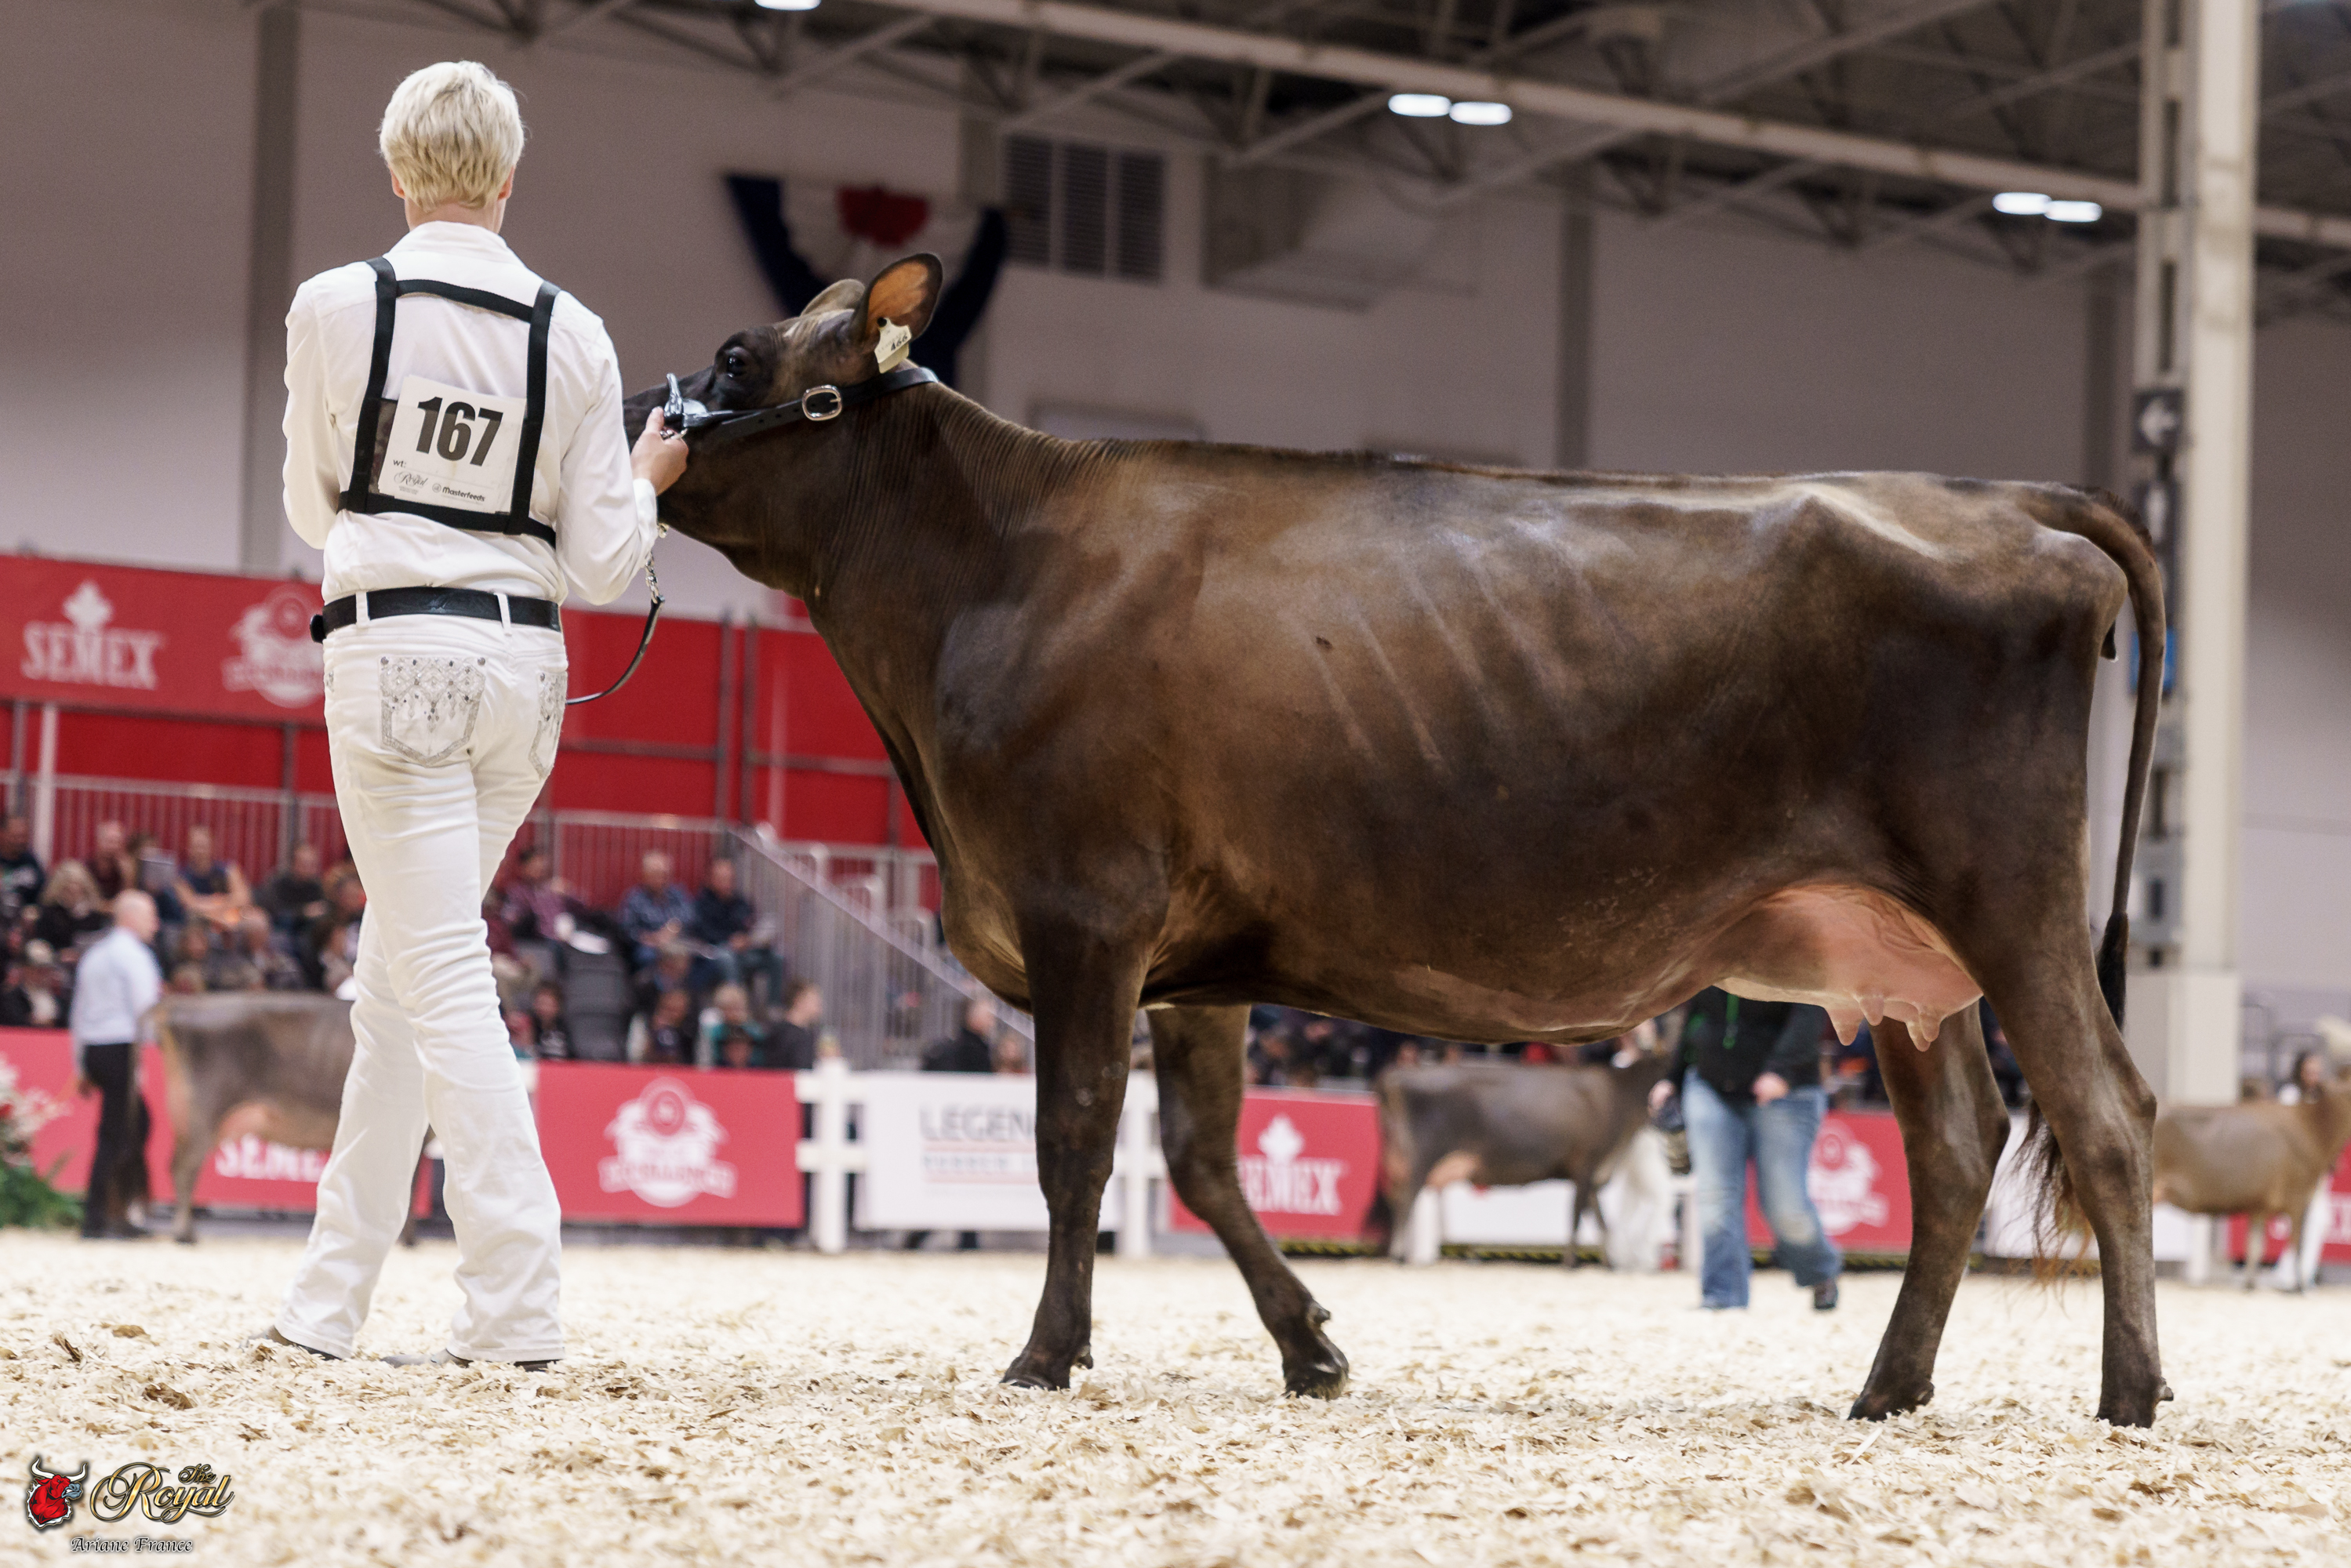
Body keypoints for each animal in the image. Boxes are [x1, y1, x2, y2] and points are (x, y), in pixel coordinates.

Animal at [154, 992, 420, 1246]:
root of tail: (181, 1005)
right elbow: (409, 1183)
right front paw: (407, 1239)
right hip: (203, 1111)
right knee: (184, 1168)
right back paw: (185, 1235)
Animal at [1373, 1054, 1671, 1265]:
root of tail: (1399, 1073)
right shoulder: (1586, 1163)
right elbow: (1577, 1215)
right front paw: (1570, 1262)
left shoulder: (1594, 1173)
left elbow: (1600, 1220)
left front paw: (1609, 1262)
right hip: (1421, 1156)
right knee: (1406, 1198)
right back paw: (1400, 1255)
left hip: (1397, 1157)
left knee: (1395, 1196)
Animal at [2153, 1067, 2351, 1290]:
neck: (2313, 1129)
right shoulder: (2298, 1197)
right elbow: (2297, 1245)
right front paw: (2298, 1287)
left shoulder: (2260, 1206)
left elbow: (2255, 1246)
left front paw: (2250, 1284)